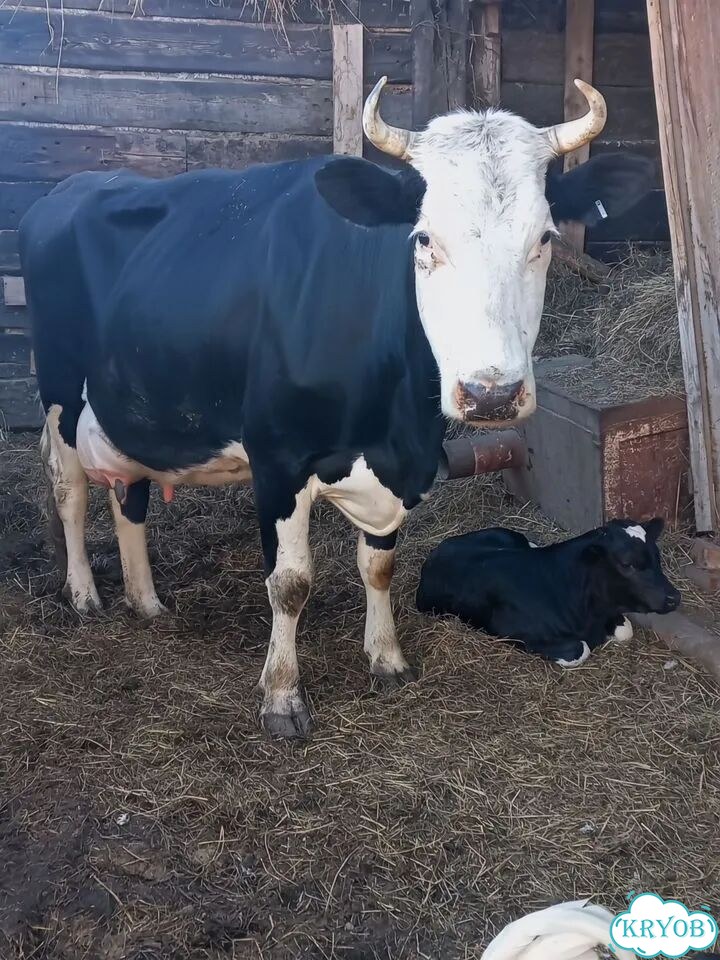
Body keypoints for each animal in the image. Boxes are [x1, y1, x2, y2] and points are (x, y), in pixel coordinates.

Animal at [20, 77, 654, 738]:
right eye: (423, 239)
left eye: (544, 239)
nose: (491, 394)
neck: (393, 422)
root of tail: (67, 190)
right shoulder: (278, 457)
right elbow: (289, 582)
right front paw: (282, 697)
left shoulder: (397, 466)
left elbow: (379, 567)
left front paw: (387, 658)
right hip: (60, 395)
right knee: (69, 490)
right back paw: (85, 594)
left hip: (133, 409)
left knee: (130, 495)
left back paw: (146, 601)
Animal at [415, 519, 681, 666]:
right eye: (627, 564)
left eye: (657, 557)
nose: (674, 597)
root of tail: (440, 547)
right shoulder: (513, 632)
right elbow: (580, 649)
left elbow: (626, 630)